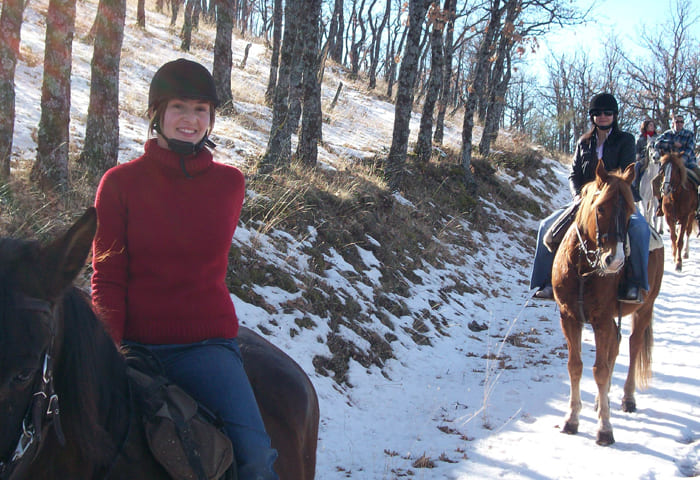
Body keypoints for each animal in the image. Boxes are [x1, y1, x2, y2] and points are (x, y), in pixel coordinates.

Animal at [552, 160, 660, 446]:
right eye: (600, 208)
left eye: (630, 210)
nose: (616, 261)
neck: (582, 269)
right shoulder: (570, 318)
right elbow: (575, 366)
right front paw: (572, 419)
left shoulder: (600, 320)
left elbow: (600, 369)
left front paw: (605, 429)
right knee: (617, 345)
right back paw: (603, 403)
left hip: (645, 309)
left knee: (633, 345)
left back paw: (626, 399)